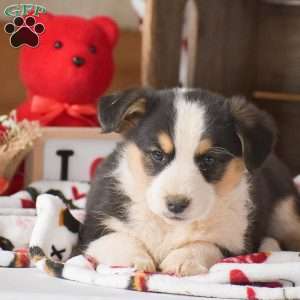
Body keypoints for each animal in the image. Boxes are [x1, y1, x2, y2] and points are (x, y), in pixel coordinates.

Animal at [79, 88, 300, 276]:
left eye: (209, 159)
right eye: (158, 154)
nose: (176, 204)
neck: (169, 226)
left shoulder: (236, 242)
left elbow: (206, 244)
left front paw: (183, 260)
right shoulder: (92, 230)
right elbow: (116, 238)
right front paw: (137, 259)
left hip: (286, 214)